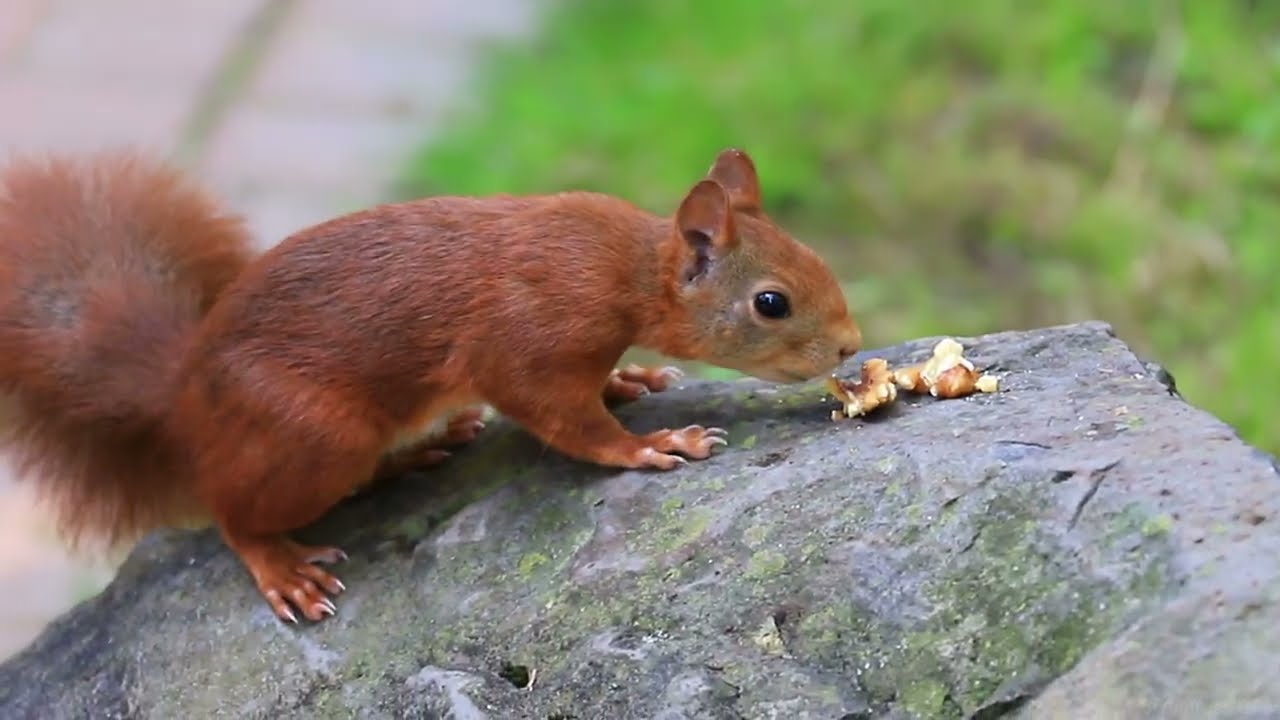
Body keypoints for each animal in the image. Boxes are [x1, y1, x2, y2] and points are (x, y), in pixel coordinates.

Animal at [0, 147, 862, 624]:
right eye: (772, 302)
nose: (853, 347)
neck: (623, 270)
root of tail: (183, 396)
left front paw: (633, 378)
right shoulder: (526, 339)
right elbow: (562, 418)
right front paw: (652, 444)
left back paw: (420, 450)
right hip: (314, 435)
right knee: (230, 513)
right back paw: (280, 565)